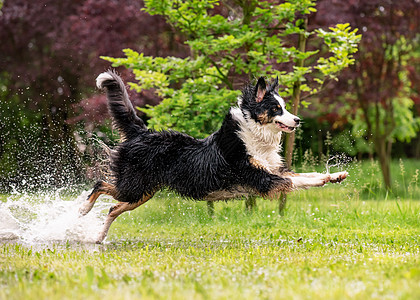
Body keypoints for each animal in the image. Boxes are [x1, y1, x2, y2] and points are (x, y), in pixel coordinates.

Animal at [79, 71, 348, 244]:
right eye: (276, 109)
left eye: (286, 107)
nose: (298, 120)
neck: (254, 136)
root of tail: (142, 132)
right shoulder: (263, 178)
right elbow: (296, 180)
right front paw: (328, 178)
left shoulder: (274, 171)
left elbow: (306, 175)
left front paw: (334, 176)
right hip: (135, 186)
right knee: (100, 184)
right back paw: (83, 209)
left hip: (143, 192)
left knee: (113, 207)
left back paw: (99, 237)